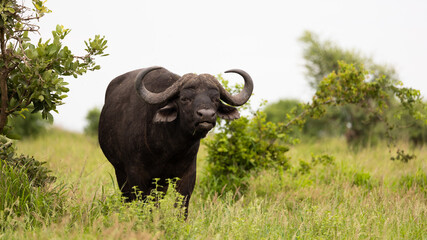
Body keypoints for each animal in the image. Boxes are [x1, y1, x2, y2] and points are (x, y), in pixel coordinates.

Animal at [99, 66, 254, 217]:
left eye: (215, 99)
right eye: (185, 98)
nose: (206, 115)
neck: (169, 147)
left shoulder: (187, 174)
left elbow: (181, 204)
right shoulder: (135, 173)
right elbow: (142, 202)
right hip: (120, 171)